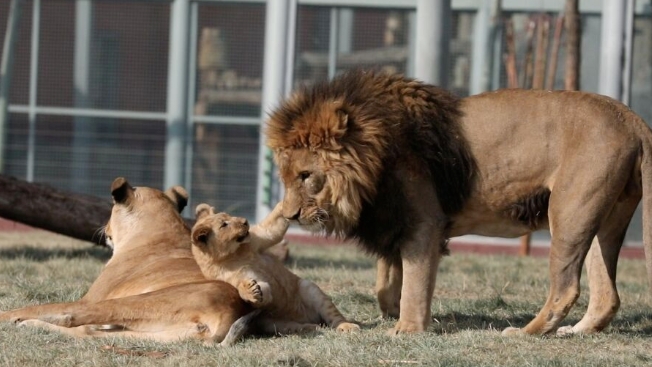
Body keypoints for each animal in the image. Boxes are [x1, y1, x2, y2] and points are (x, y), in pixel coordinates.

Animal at [2, 178, 258, 344]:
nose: (104, 229)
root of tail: (230, 313)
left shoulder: (92, 297)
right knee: (89, 333)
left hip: (136, 300)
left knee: (72, 315)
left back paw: (22, 321)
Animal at [191, 203, 360, 334]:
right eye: (224, 224)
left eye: (230, 216)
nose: (245, 221)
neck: (234, 254)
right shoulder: (240, 278)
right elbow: (252, 290)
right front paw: (250, 290)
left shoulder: (261, 237)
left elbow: (275, 223)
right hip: (270, 323)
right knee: (298, 326)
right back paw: (311, 327)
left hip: (310, 288)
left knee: (334, 316)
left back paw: (347, 327)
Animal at [264, 69, 652, 336]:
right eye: (285, 177)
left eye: (305, 176)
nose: (291, 216)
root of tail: (634, 120)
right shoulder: (394, 222)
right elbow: (387, 283)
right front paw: (395, 313)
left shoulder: (424, 223)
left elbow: (415, 281)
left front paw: (407, 329)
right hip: (604, 220)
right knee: (607, 295)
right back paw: (576, 332)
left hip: (569, 213)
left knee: (566, 287)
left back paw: (525, 332)